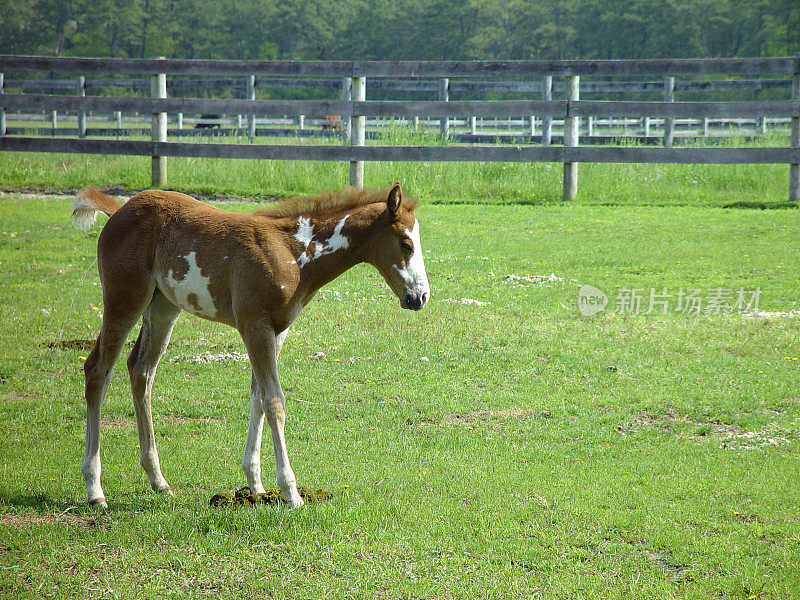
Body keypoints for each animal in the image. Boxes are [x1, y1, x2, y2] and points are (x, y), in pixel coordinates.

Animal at [72, 182, 428, 506]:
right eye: (406, 243)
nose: (420, 297)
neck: (293, 252)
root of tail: (120, 210)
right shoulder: (254, 326)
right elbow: (275, 402)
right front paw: (291, 492)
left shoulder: (277, 330)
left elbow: (258, 396)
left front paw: (256, 484)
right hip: (124, 299)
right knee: (97, 371)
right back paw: (95, 490)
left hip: (163, 307)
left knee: (141, 371)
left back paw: (158, 480)